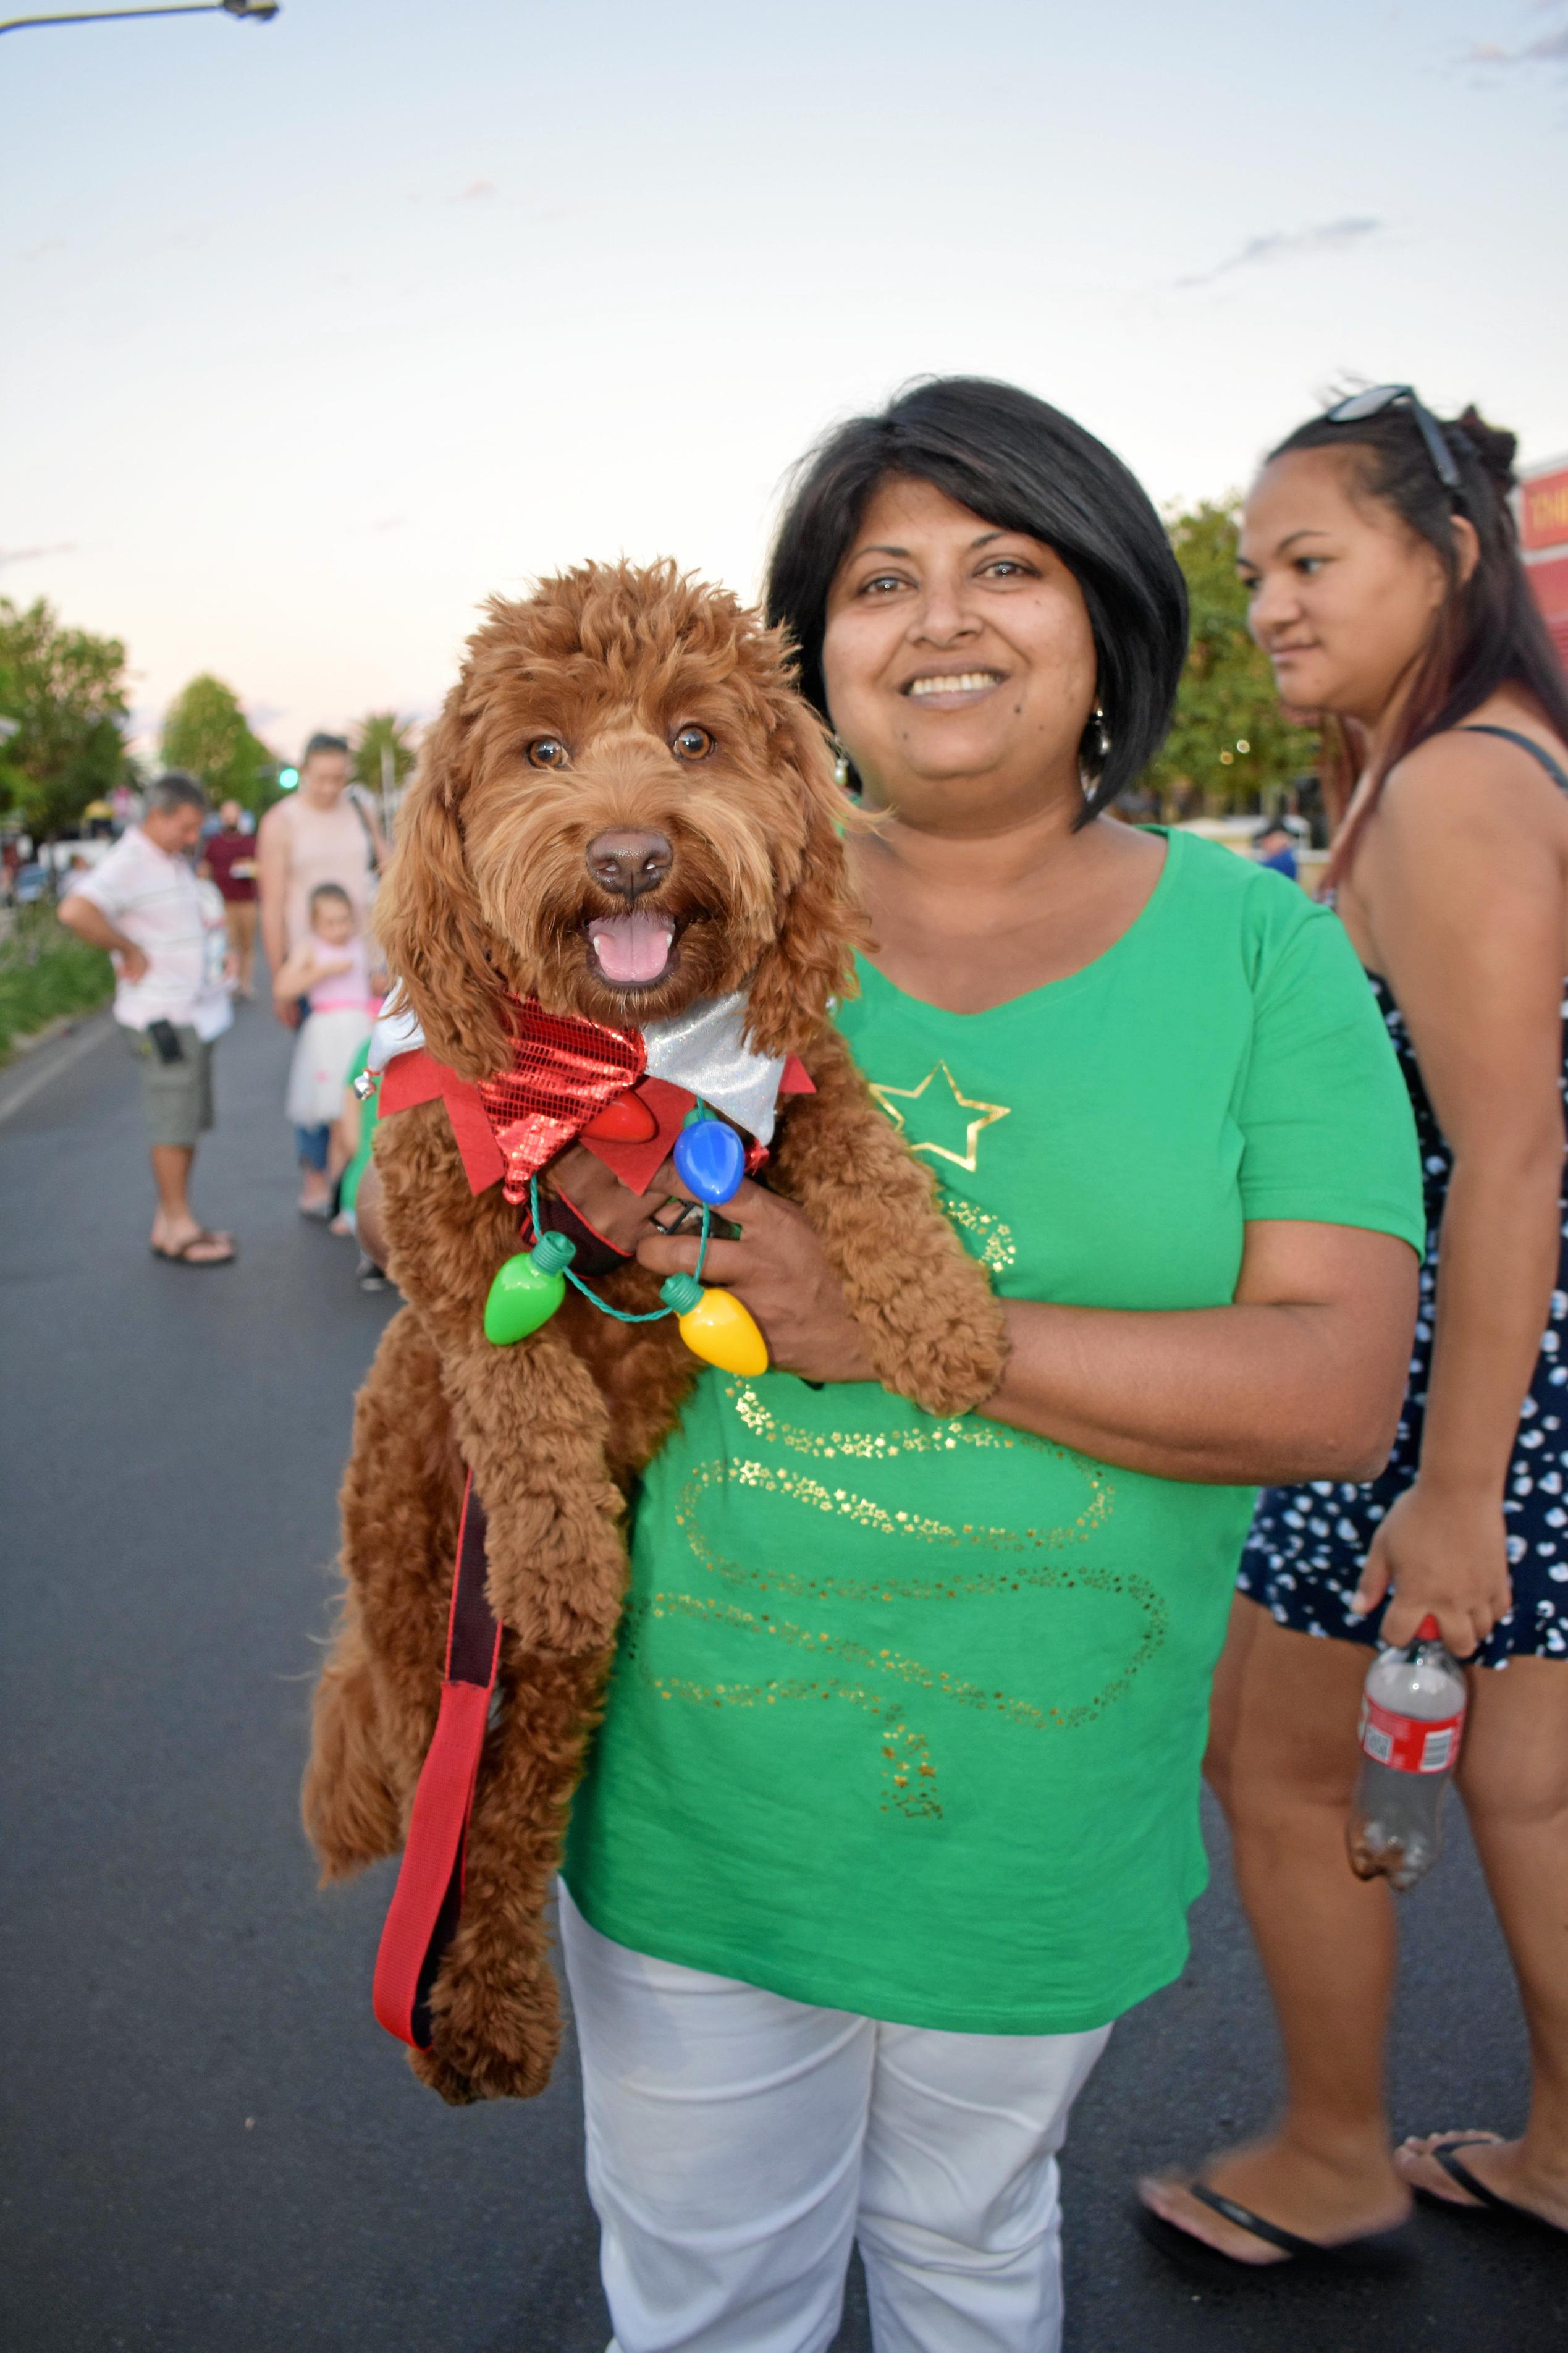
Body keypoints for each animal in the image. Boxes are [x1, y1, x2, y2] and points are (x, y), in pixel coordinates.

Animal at [300, 560, 1008, 2108]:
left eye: (695, 739)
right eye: (543, 750)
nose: (628, 855)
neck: (623, 1068)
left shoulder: (792, 1078)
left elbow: (872, 1155)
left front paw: (944, 1317)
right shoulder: (436, 1183)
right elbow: (509, 1367)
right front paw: (558, 1541)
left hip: (553, 1687)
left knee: (510, 1808)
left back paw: (492, 2014)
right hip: (412, 1564)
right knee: (419, 1758)